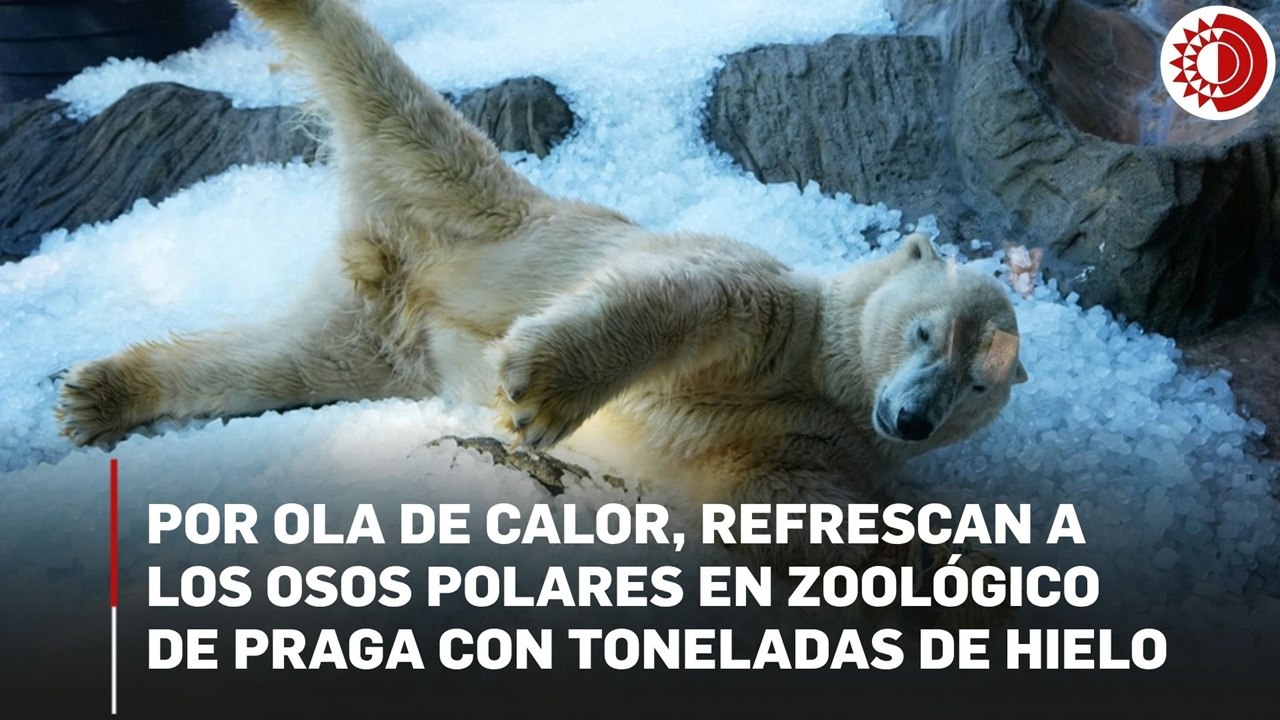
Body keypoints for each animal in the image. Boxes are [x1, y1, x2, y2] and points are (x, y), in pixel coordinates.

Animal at [56, 0, 1026, 619]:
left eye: (980, 381)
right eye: (925, 331)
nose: (912, 416)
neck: (826, 381)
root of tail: (397, 264)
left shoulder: (812, 444)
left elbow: (788, 517)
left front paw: (972, 573)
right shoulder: (773, 310)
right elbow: (692, 301)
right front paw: (542, 391)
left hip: (379, 338)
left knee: (276, 364)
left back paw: (101, 392)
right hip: (474, 194)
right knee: (378, 80)